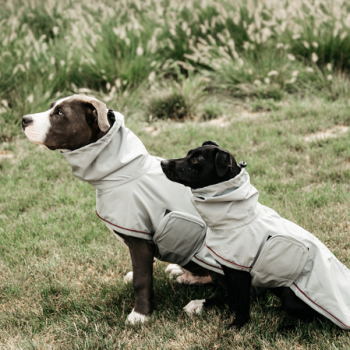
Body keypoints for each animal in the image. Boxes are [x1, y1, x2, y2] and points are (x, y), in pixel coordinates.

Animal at [161, 141, 320, 330]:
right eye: (188, 154)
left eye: (195, 160)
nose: (163, 163)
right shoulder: (229, 270)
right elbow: (232, 299)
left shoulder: (242, 275)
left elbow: (242, 304)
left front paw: (236, 326)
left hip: (291, 297)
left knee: (314, 321)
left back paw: (285, 327)